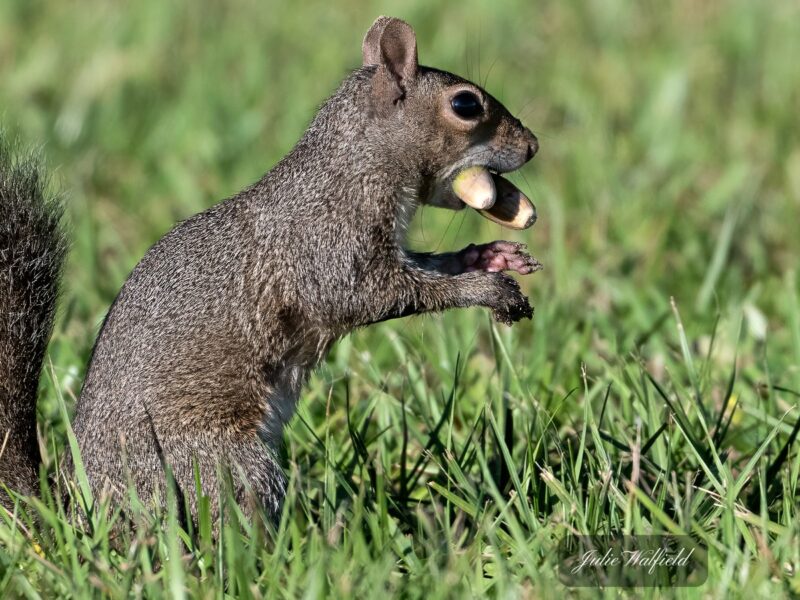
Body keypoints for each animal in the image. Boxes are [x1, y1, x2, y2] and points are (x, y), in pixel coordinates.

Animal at [0, 17, 540, 523]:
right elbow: (378, 295)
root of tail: (77, 510)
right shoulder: (326, 251)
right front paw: (487, 289)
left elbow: (428, 266)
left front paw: (491, 256)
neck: (352, 169)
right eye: (465, 105)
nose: (533, 144)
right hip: (220, 463)